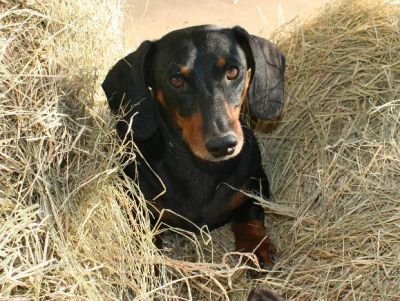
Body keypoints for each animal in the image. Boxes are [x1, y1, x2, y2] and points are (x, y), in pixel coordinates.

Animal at [103, 23, 284, 268]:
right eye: (176, 80)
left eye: (233, 71)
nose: (223, 144)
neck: (200, 170)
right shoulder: (138, 207)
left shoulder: (255, 183)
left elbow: (249, 214)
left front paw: (256, 247)